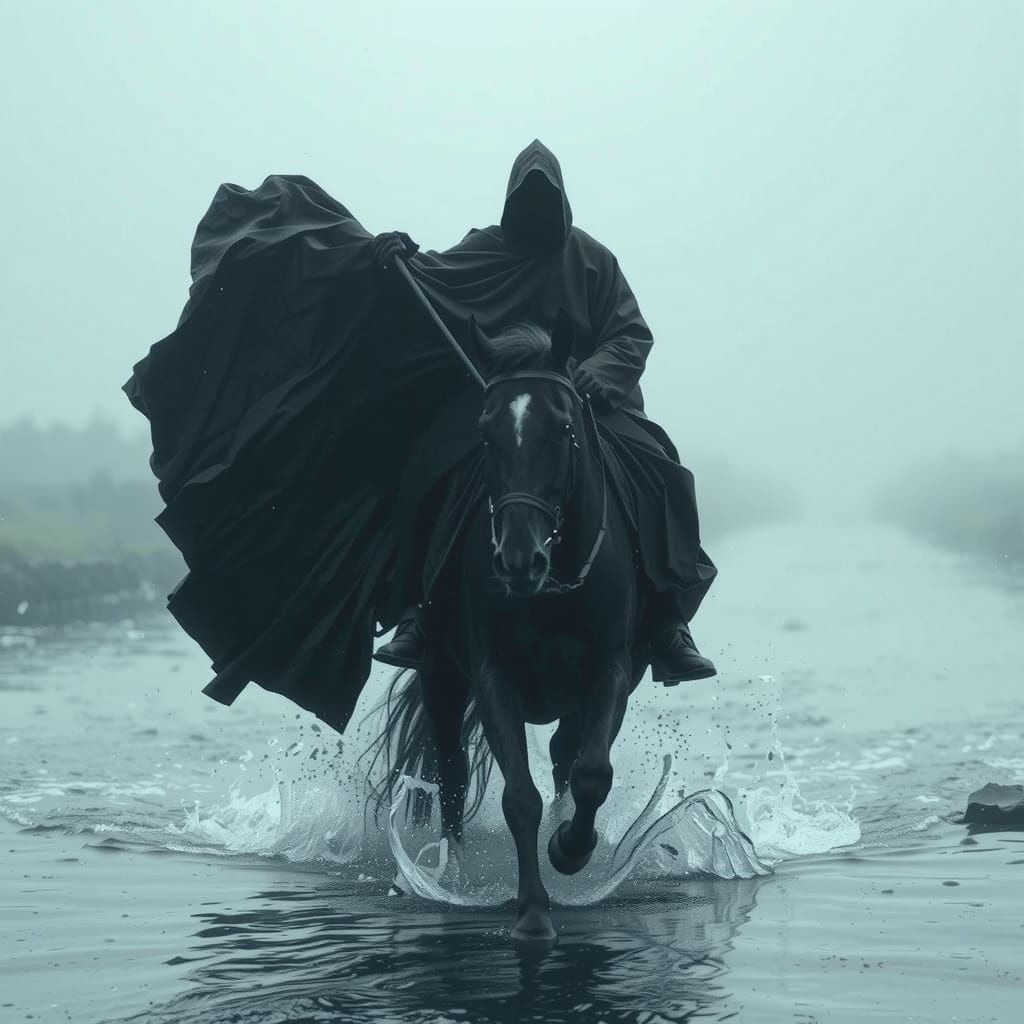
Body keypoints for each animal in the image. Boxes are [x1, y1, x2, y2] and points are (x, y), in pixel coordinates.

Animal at [369, 313, 649, 941]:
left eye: (563, 427)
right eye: (486, 431)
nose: (520, 560)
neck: (551, 594)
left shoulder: (611, 671)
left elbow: (593, 772)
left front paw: (570, 849)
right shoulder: (493, 676)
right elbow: (519, 796)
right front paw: (533, 912)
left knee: (567, 754)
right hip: (443, 680)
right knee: (450, 774)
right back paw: (456, 876)